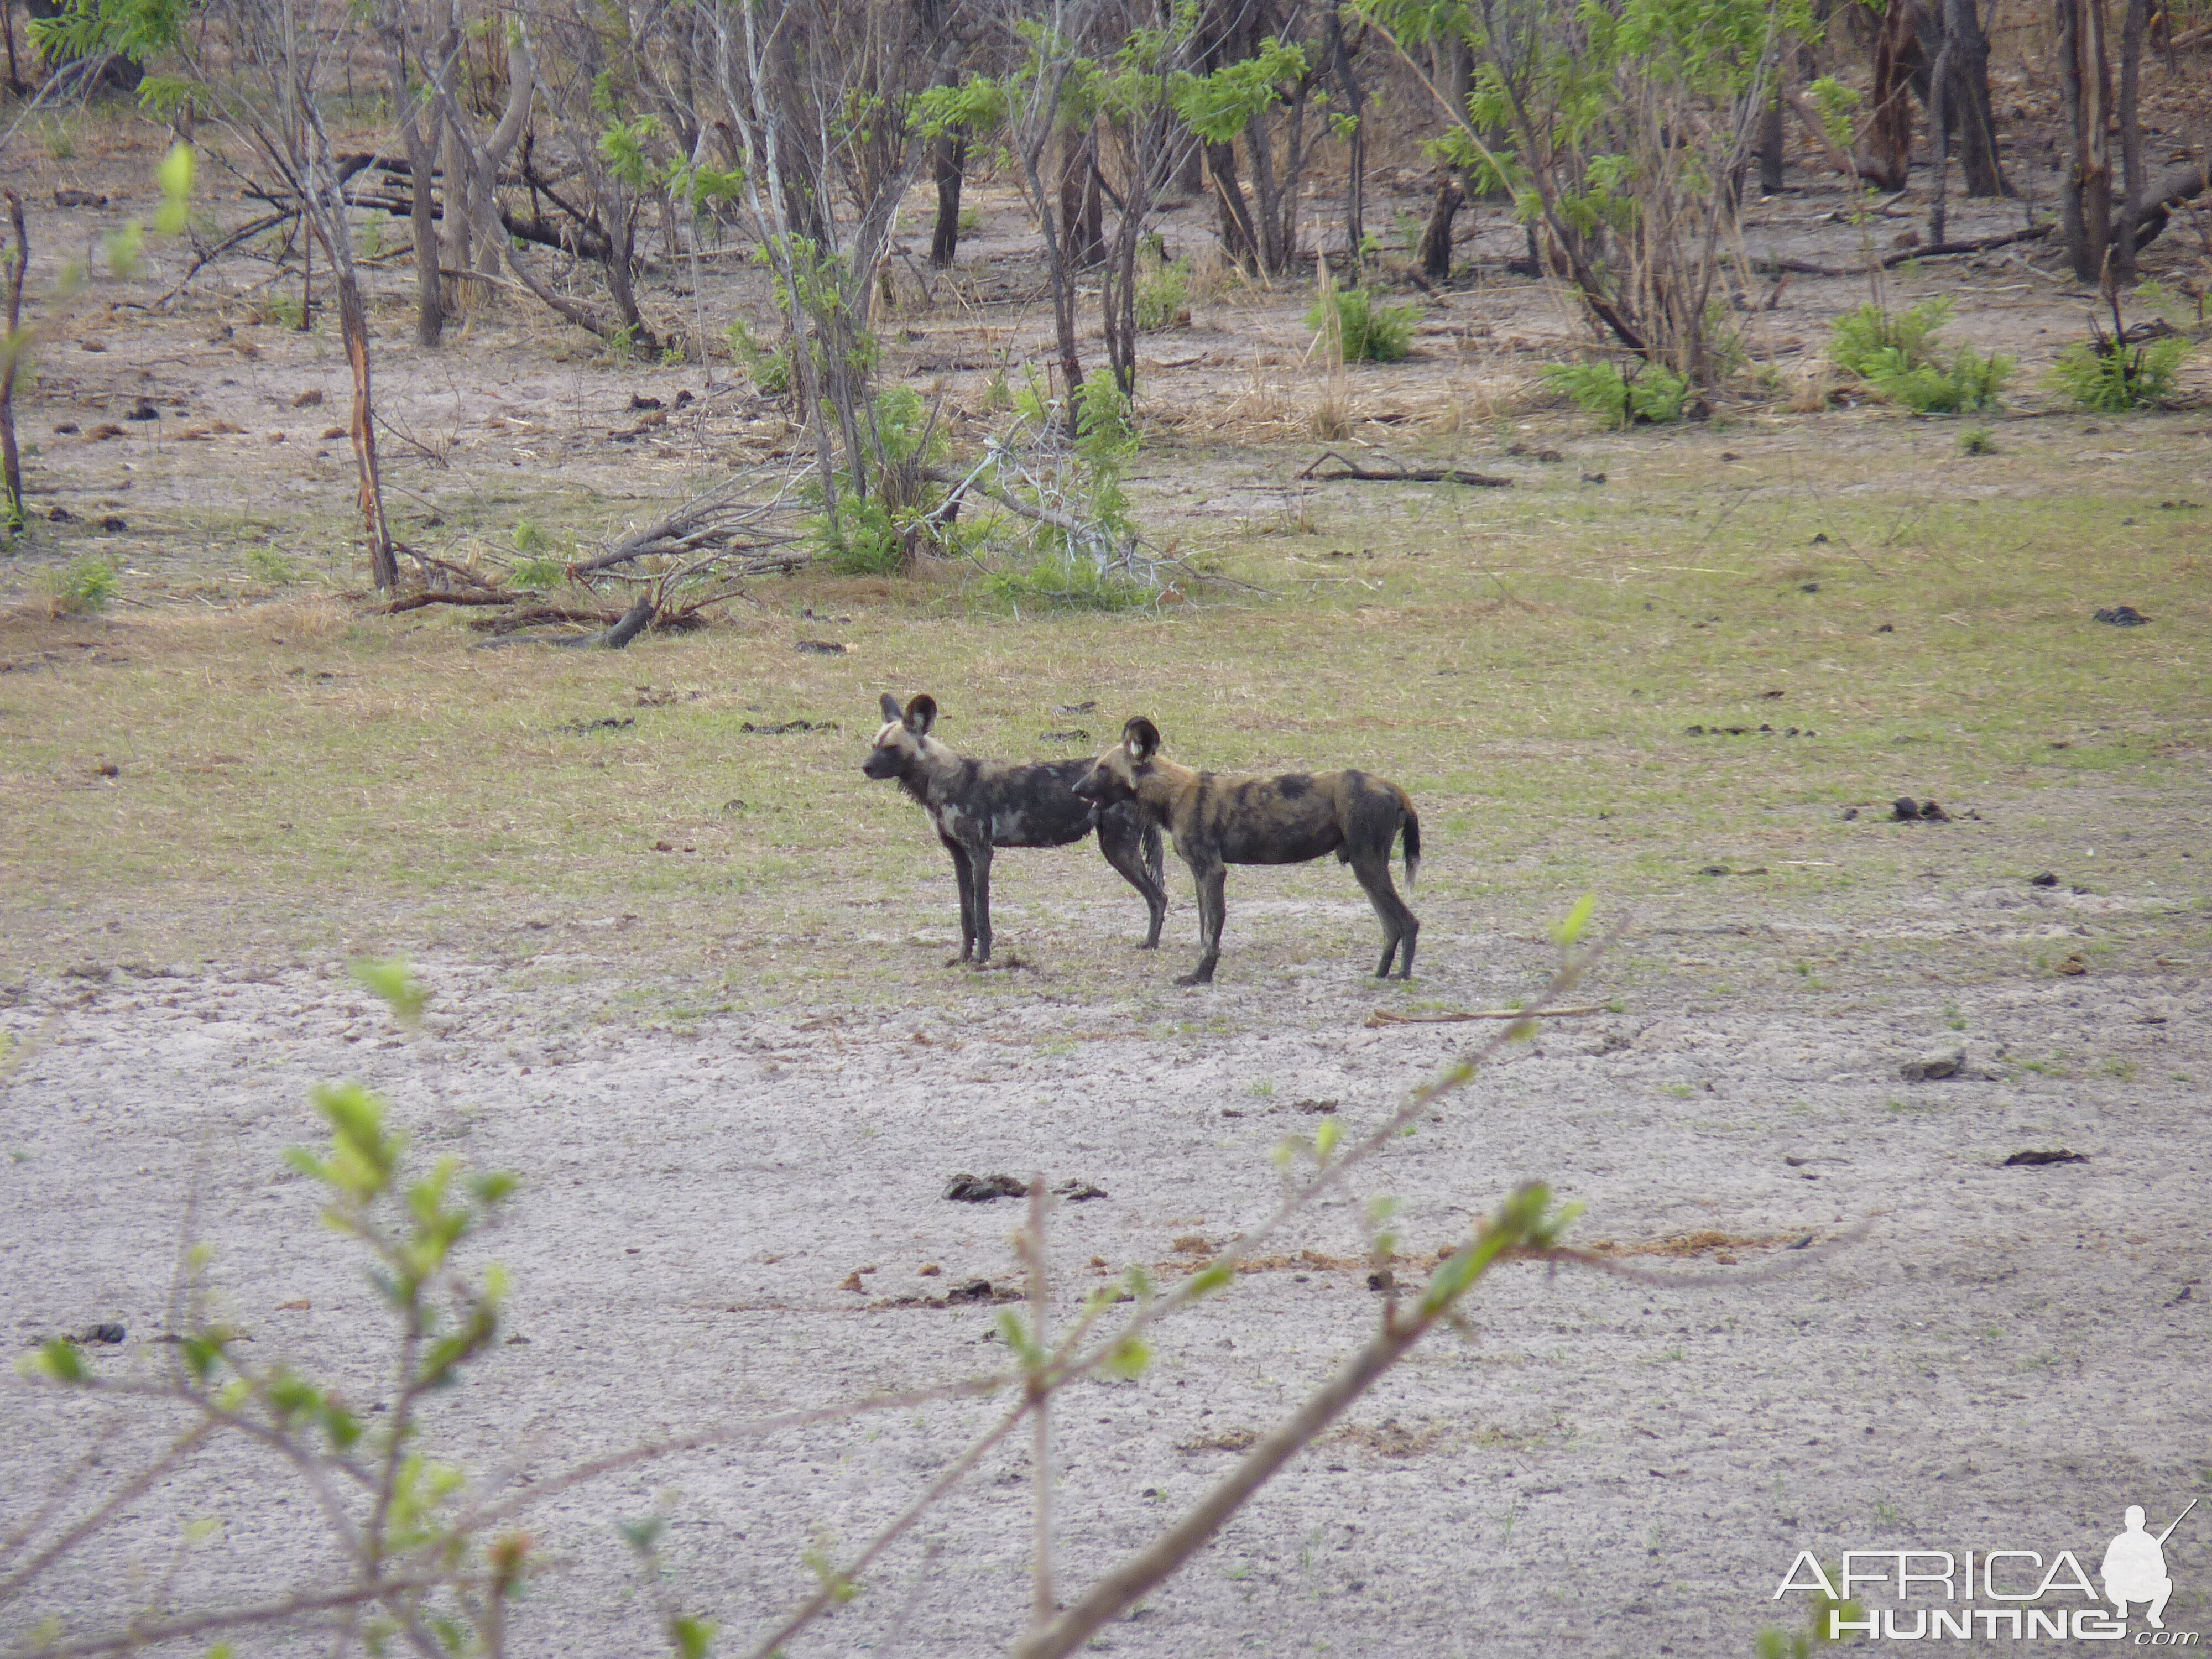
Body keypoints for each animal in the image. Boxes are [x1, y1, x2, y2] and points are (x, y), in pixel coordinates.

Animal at [863, 695, 1177, 969]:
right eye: (874, 745)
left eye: (891, 748)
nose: (864, 767)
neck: (940, 781)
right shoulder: (960, 856)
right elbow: (966, 915)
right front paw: (963, 958)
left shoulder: (981, 853)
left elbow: (981, 914)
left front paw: (983, 960)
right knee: (1157, 897)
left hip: (1117, 849)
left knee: (1158, 897)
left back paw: (1150, 945)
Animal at [1071, 717, 1416, 987]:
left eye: (1103, 769)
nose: (1075, 789)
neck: (1173, 794)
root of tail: (1394, 787)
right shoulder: (1200, 874)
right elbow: (1204, 927)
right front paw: (1201, 972)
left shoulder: (1211, 871)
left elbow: (1212, 929)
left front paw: (1200, 977)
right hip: (1366, 870)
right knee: (1391, 926)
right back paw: (1381, 974)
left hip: (1367, 866)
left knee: (1408, 921)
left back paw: (1402, 977)